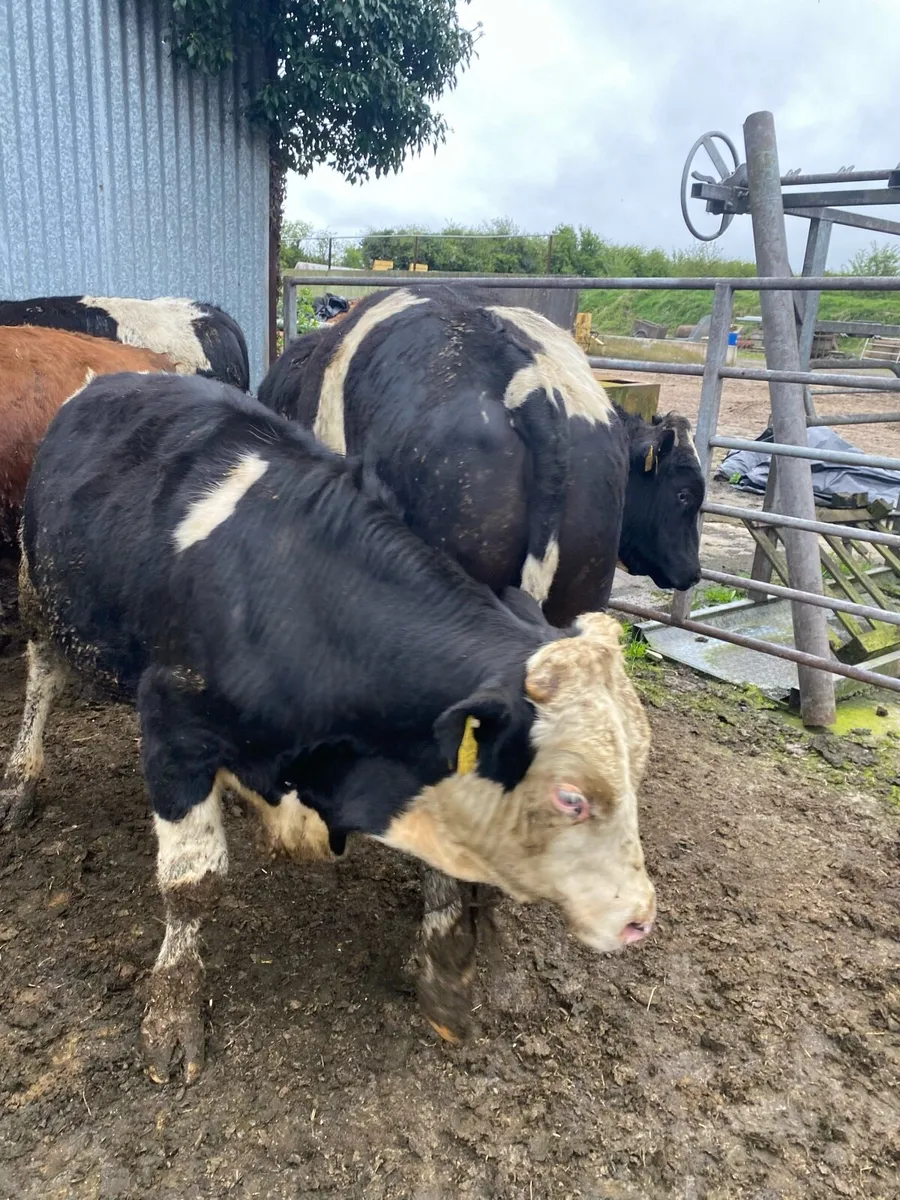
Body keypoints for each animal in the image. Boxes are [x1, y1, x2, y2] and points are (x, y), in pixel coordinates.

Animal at [0, 372, 656, 1084]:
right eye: (571, 796)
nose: (640, 918)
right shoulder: (173, 728)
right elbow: (192, 882)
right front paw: (172, 1010)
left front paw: (445, 964)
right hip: (37, 589)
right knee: (43, 675)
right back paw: (21, 780)